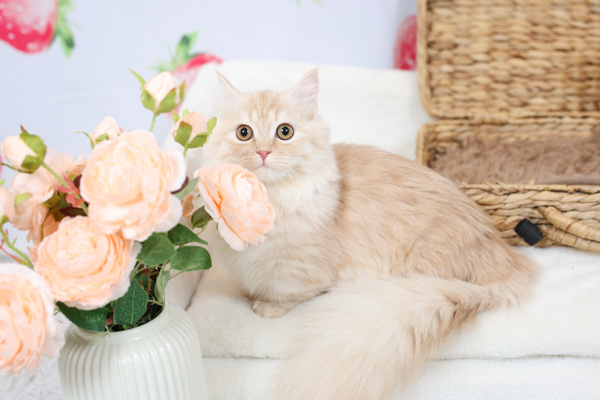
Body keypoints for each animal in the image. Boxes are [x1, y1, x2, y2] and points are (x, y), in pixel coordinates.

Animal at [200, 69, 536, 400]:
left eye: (285, 132)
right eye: (244, 133)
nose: (263, 152)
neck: (270, 202)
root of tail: (509, 264)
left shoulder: (302, 270)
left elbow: (284, 294)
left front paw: (265, 307)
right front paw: (250, 296)